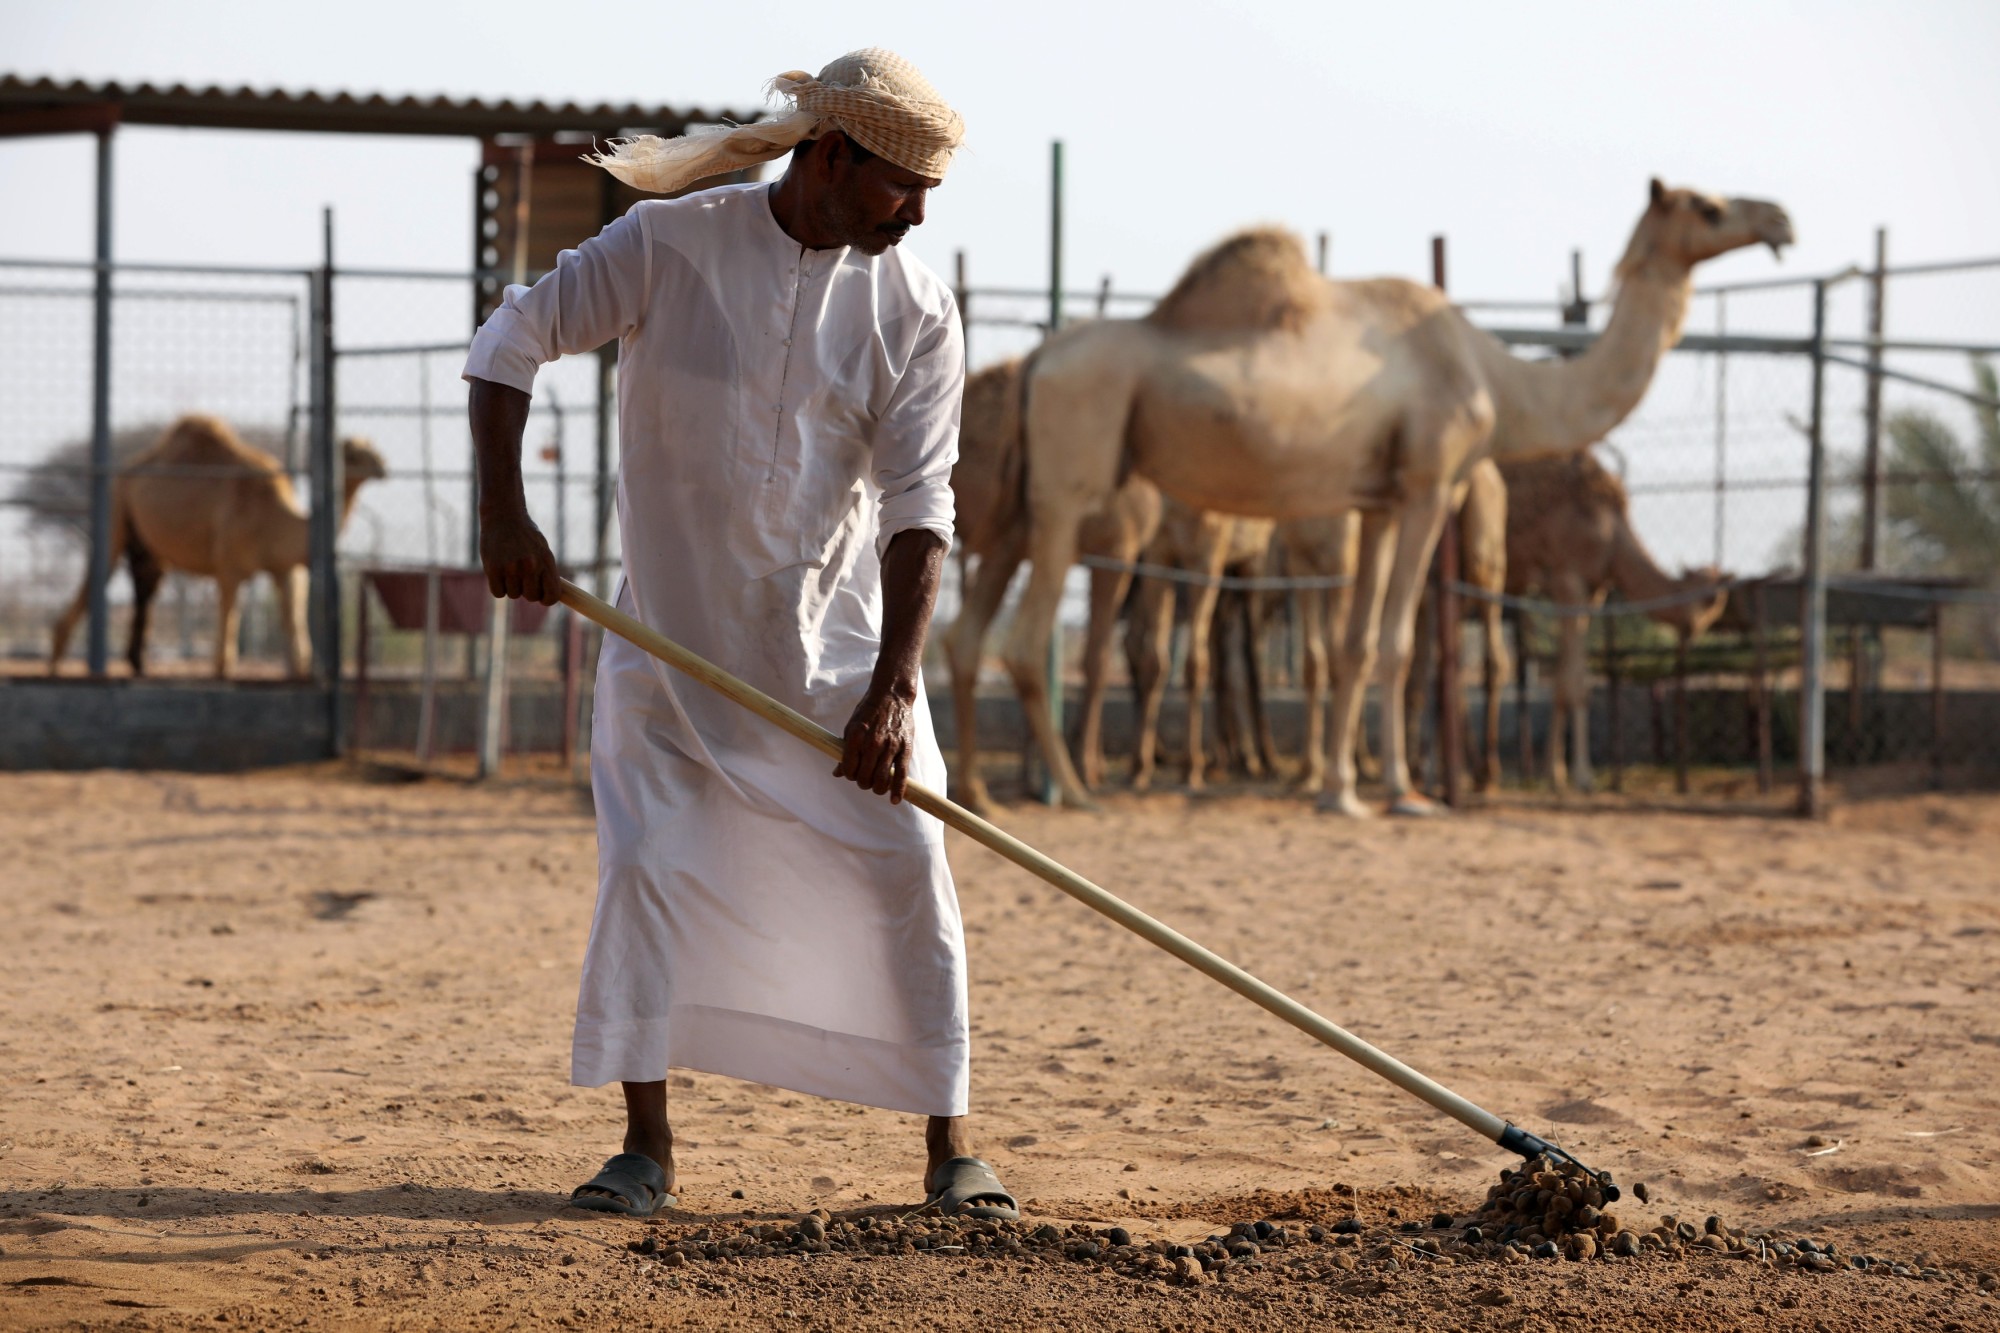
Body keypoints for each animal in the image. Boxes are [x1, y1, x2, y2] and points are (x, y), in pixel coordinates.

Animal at [47, 412, 386, 676]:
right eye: (355, 454)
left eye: (372, 449)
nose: (383, 465)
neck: (276, 516)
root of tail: (129, 467)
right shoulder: (229, 566)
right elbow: (228, 638)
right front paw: (221, 672)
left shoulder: (287, 569)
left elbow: (298, 639)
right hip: (116, 506)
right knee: (100, 571)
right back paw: (56, 663)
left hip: (147, 541)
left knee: (145, 585)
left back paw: (137, 664)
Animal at [1504, 446, 1736, 788]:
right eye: (1714, 597)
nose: (1695, 627)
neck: (1611, 530)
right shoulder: (1567, 578)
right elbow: (1576, 682)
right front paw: (1582, 776)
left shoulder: (1592, 591)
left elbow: (1561, 680)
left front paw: (1554, 774)